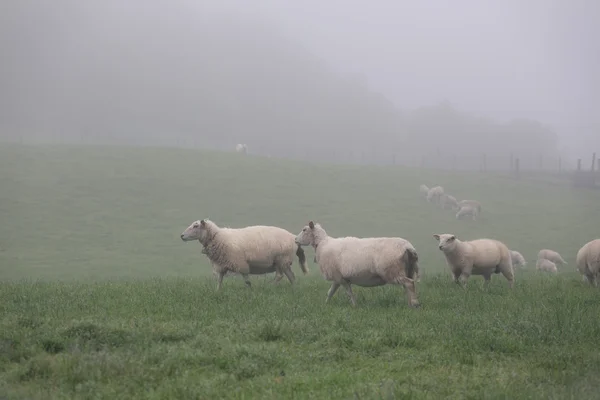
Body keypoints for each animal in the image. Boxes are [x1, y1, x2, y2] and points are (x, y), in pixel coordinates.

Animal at [180, 219, 308, 290]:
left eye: (196, 226)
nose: (181, 236)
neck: (218, 237)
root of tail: (294, 238)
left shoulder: (241, 264)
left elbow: (247, 281)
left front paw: (250, 291)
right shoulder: (221, 265)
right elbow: (219, 280)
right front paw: (217, 292)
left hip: (282, 259)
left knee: (281, 276)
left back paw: (269, 287)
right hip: (280, 262)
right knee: (290, 276)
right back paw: (294, 289)